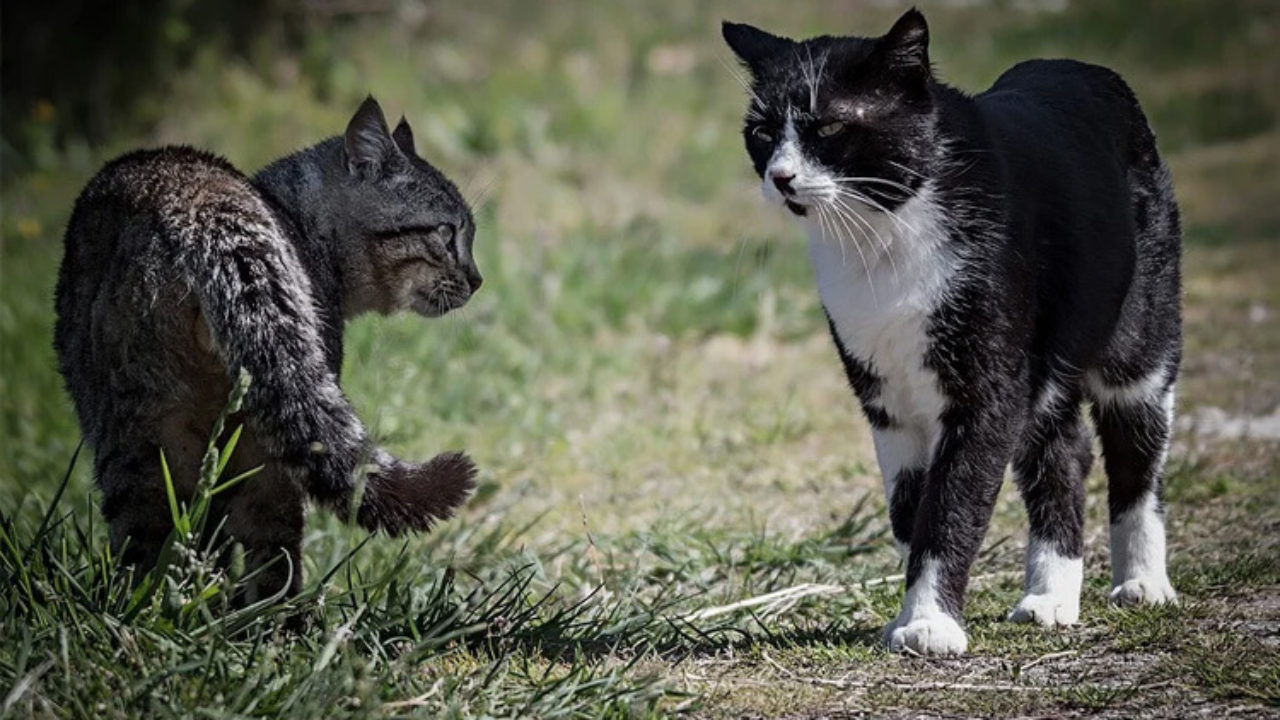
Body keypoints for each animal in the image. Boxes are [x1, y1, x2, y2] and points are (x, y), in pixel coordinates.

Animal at [727, 8, 1182, 653]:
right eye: (762, 132)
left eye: (832, 126)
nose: (782, 176)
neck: (883, 237)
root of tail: (1084, 67)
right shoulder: (887, 400)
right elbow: (908, 508)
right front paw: (909, 613)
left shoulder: (985, 390)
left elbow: (951, 504)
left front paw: (930, 623)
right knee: (1063, 451)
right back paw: (1051, 596)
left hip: (1141, 334)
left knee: (1136, 446)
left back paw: (1143, 582)